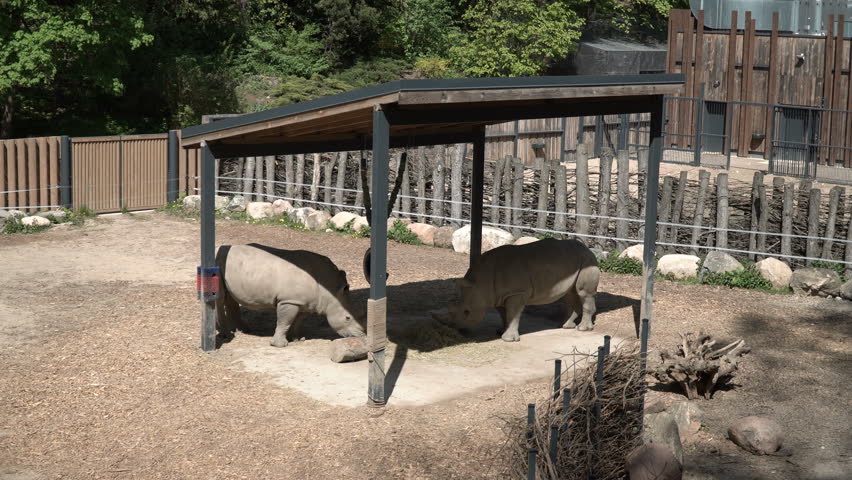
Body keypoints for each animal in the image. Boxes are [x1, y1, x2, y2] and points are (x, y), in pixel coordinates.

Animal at [215, 243, 365, 347]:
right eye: (347, 318)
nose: (362, 335)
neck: (329, 292)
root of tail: (221, 247)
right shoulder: (288, 300)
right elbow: (284, 321)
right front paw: (280, 345)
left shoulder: (304, 302)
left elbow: (298, 320)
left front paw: (298, 339)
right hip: (219, 264)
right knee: (220, 298)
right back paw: (226, 335)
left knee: (231, 298)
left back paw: (242, 330)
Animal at [433, 238, 600, 341]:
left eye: (467, 312)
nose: (458, 330)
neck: (481, 283)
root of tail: (588, 249)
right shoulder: (498, 295)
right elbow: (504, 315)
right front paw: (500, 332)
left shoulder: (516, 293)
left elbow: (513, 314)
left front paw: (508, 339)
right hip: (572, 263)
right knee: (569, 294)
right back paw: (565, 326)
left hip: (586, 261)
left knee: (584, 293)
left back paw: (582, 329)